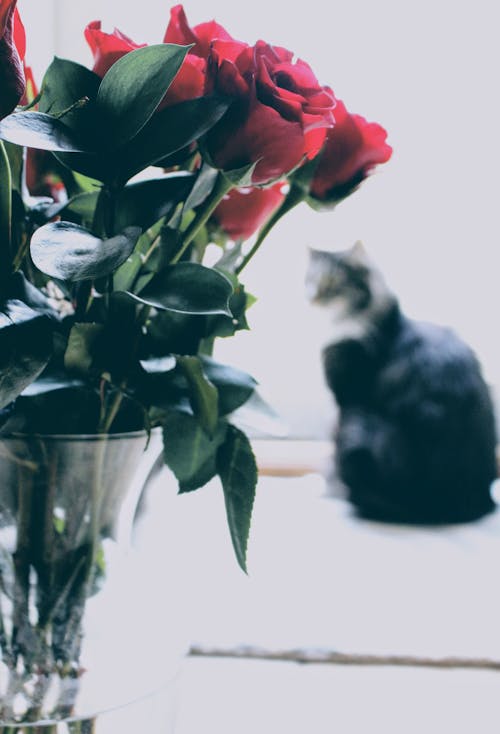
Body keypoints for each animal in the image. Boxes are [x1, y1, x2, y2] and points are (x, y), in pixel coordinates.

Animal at [306, 244, 498, 528]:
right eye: (309, 280)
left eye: (331, 282)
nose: (312, 297)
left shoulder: (348, 395)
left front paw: (326, 486)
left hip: (360, 429)